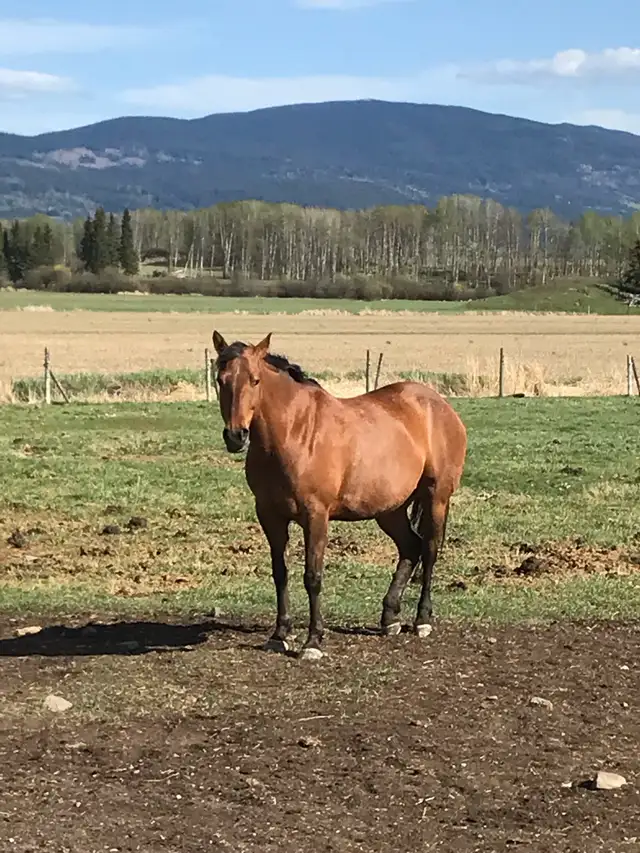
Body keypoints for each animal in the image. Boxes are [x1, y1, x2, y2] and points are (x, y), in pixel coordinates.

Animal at [212, 331, 467, 662]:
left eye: (255, 380)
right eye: (221, 379)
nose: (236, 435)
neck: (294, 432)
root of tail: (439, 405)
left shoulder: (316, 515)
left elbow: (313, 576)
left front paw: (313, 641)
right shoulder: (269, 515)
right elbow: (280, 573)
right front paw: (280, 634)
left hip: (436, 498)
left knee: (430, 550)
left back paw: (422, 619)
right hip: (390, 509)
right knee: (410, 548)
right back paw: (389, 618)